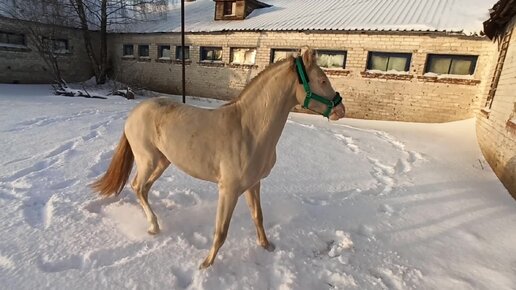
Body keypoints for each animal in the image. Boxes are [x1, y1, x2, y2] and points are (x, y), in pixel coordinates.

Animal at [91, 47, 346, 268]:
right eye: (322, 80)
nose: (340, 110)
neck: (250, 130)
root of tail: (134, 112)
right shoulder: (228, 190)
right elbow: (221, 230)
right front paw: (205, 265)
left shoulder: (254, 184)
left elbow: (258, 216)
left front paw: (266, 246)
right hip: (148, 160)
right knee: (136, 186)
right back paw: (154, 227)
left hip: (163, 162)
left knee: (144, 189)